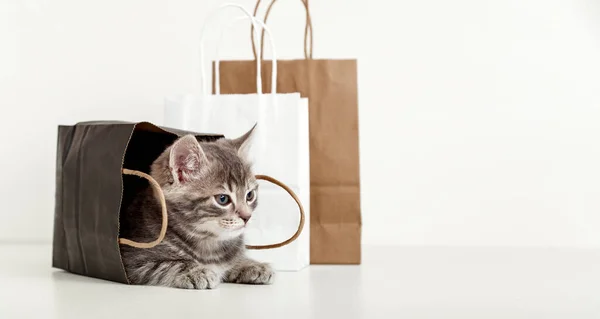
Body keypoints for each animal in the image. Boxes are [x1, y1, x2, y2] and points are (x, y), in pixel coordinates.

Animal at [120, 127, 274, 290]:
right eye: (223, 199)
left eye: (249, 195)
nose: (247, 217)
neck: (209, 242)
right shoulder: (132, 262)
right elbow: (168, 265)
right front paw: (197, 271)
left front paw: (250, 264)